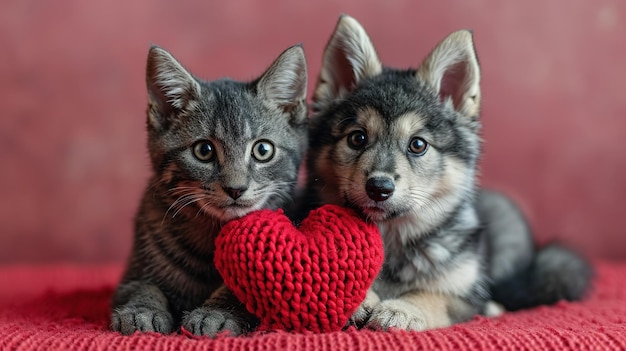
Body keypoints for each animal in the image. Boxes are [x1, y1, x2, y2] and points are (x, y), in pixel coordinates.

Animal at [112, 44, 310, 338]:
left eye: (263, 150)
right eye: (204, 150)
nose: (236, 188)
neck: (212, 233)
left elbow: (243, 290)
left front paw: (215, 313)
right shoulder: (131, 272)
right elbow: (141, 285)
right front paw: (141, 310)